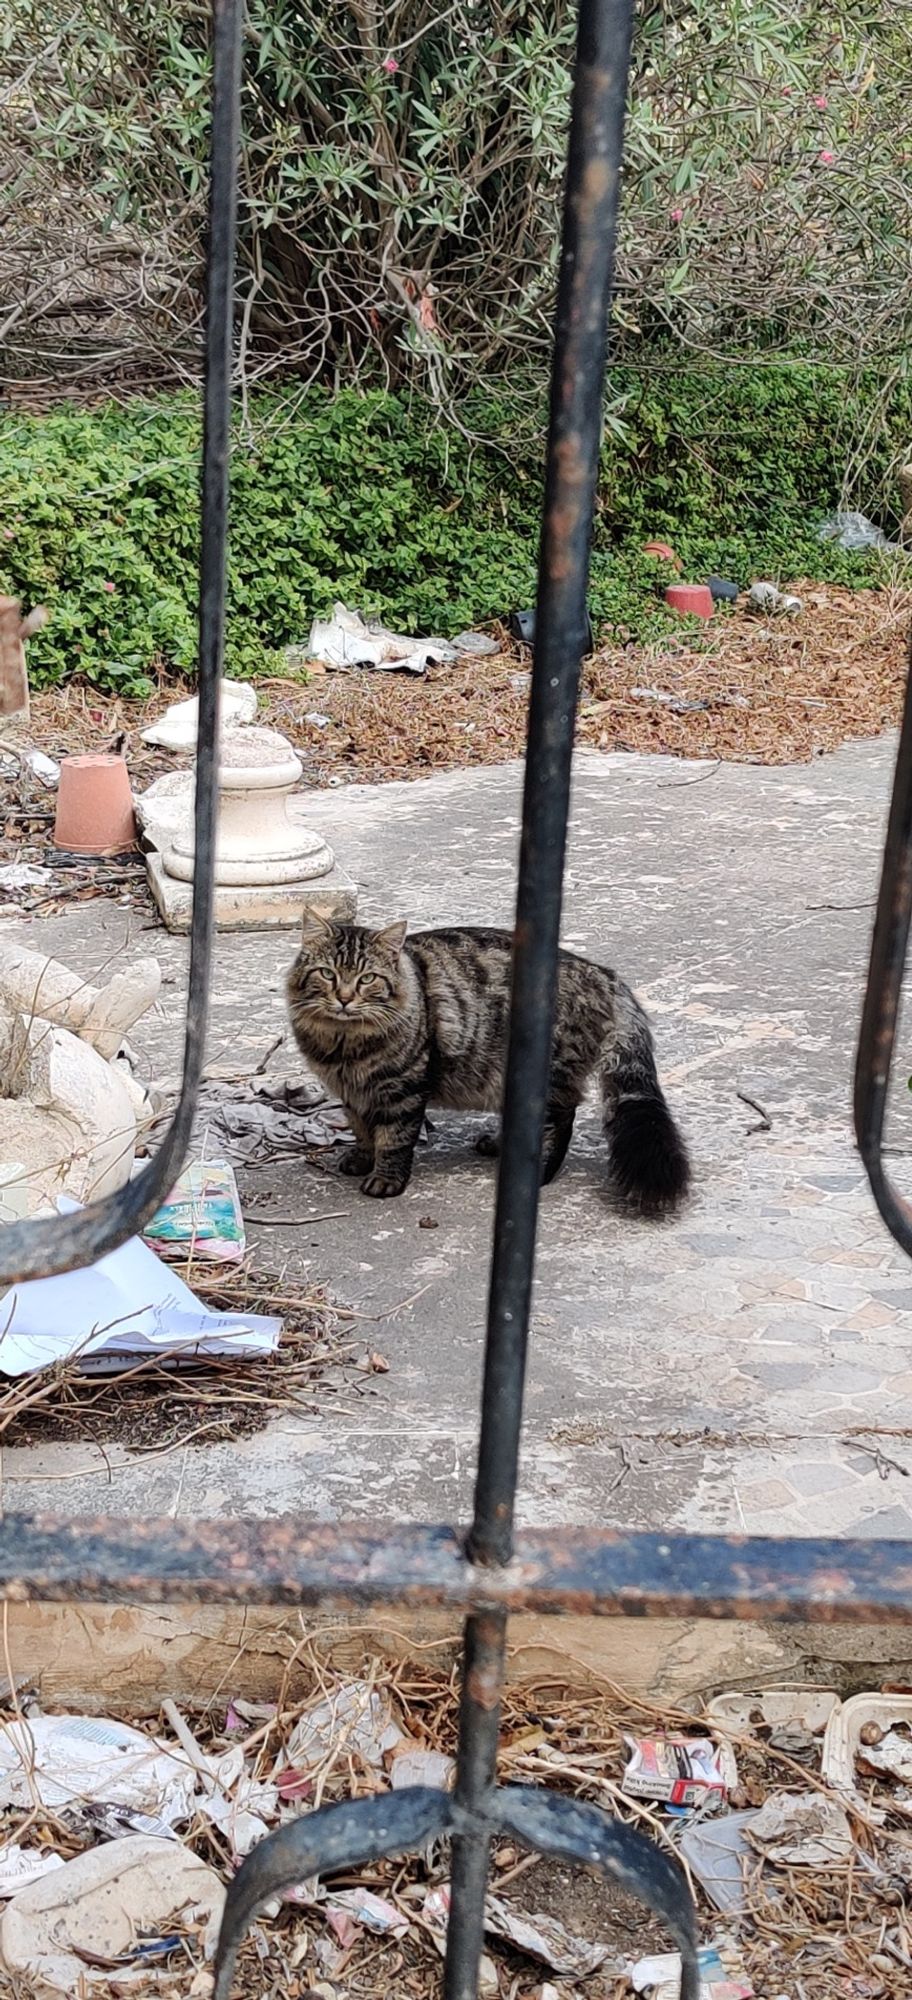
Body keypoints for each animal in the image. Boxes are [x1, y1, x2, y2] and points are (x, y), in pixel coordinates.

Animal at [288, 916, 688, 1208]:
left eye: (367, 978)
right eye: (328, 974)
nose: (344, 998)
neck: (344, 1044)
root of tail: (601, 972)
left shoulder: (404, 1089)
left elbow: (393, 1140)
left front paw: (386, 1179)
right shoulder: (353, 1093)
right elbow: (362, 1130)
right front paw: (361, 1158)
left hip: (551, 1077)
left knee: (559, 1123)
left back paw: (537, 1173)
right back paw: (499, 1146)